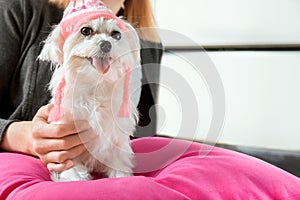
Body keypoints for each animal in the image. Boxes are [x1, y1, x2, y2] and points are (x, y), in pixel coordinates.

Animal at [38, 0, 142, 181]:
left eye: (116, 34)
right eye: (85, 31)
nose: (106, 44)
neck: (94, 85)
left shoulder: (115, 135)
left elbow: (118, 162)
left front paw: (121, 177)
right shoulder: (64, 137)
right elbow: (71, 165)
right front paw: (75, 178)